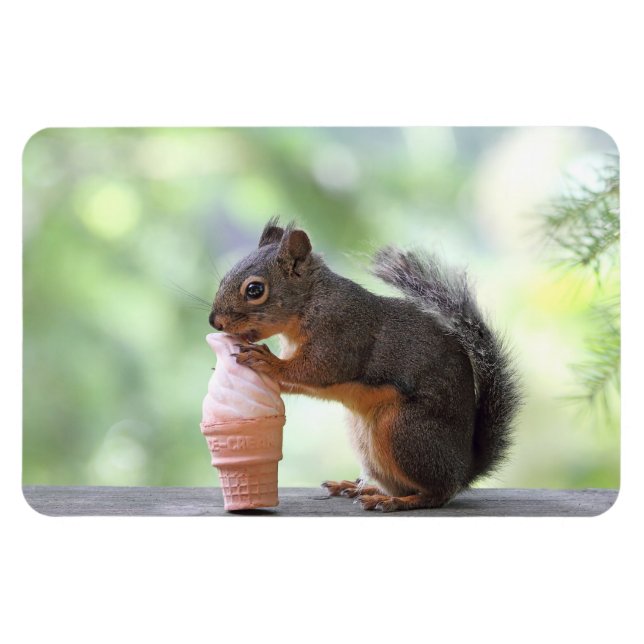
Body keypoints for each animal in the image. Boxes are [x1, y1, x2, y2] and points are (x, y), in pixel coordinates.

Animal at [209, 217, 522, 512]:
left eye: (255, 290)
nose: (215, 322)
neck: (311, 301)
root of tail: (464, 468)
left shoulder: (340, 335)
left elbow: (315, 370)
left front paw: (267, 361)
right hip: (366, 439)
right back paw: (361, 488)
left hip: (403, 430)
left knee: (437, 493)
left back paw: (396, 501)